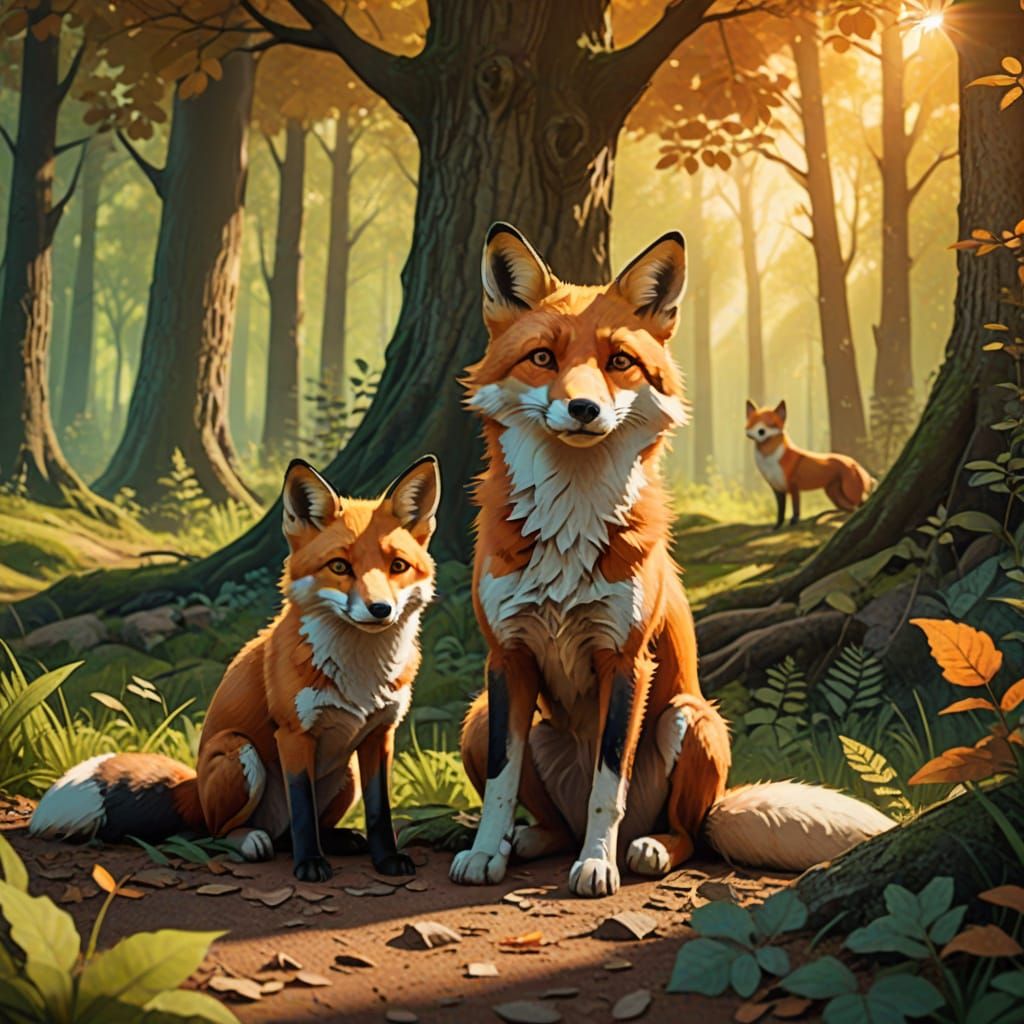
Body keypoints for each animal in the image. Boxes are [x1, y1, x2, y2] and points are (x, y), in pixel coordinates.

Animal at [30, 455, 441, 882]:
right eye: (340, 566)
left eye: (398, 566)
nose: (381, 609)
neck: (361, 674)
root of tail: (194, 790)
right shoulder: (293, 735)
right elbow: (302, 810)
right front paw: (309, 864)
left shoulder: (379, 734)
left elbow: (379, 812)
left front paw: (386, 859)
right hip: (240, 752)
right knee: (216, 832)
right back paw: (249, 841)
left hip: (347, 774)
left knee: (285, 833)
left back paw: (337, 839)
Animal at [746, 400, 875, 529]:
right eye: (753, 422)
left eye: (771, 424)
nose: (761, 431)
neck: (770, 461)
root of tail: (853, 462)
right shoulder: (777, 489)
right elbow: (780, 513)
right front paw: (777, 527)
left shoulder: (793, 486)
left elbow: (796, 509)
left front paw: (794, 522)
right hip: (834, 494)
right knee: (852, 507)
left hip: (849, 492)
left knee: (862, 502)